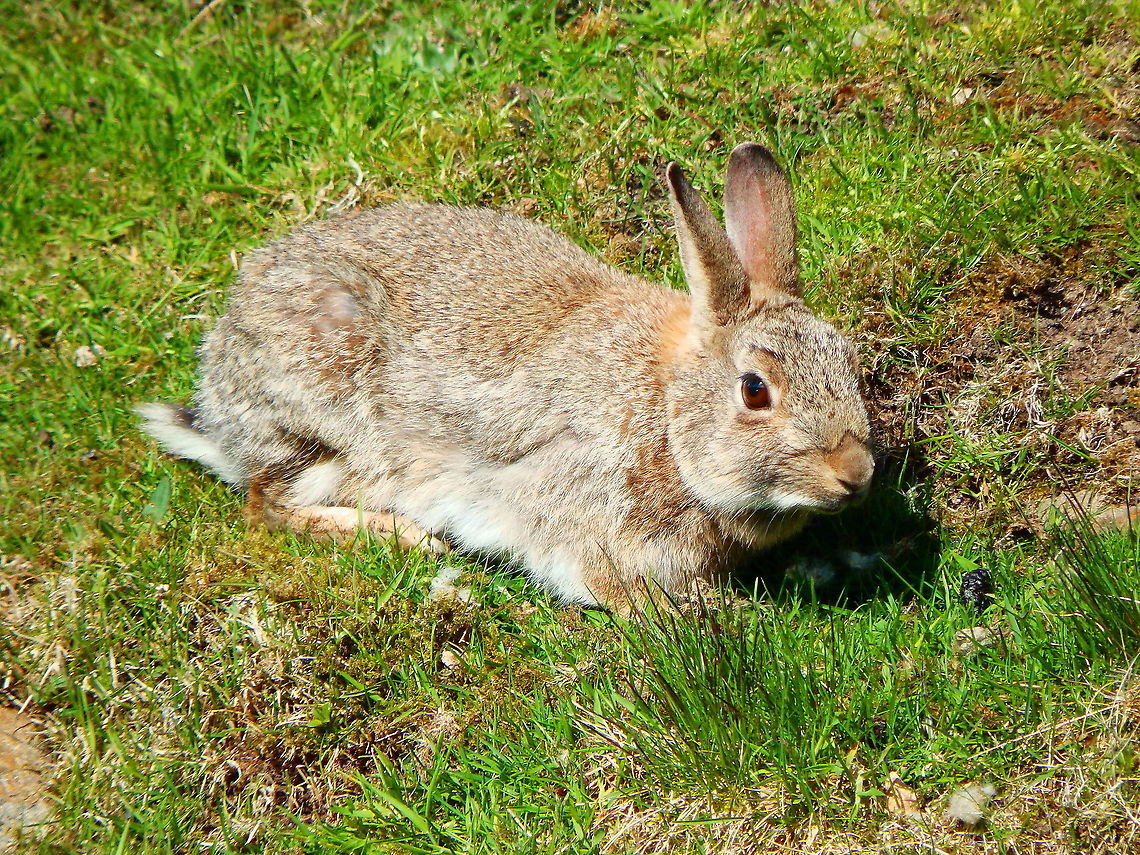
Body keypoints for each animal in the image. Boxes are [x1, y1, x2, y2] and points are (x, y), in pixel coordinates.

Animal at [139, 143, 873, 608]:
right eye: (755, 390)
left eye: (846, 357)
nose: (856, 473)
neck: (667, 414)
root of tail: (218, 407)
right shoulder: (578, 508)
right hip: (325, 417)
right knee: (266, 501)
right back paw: (406, 536)